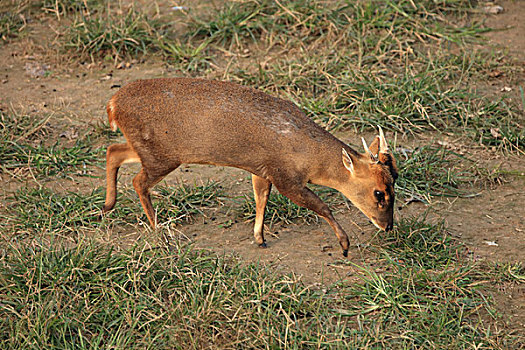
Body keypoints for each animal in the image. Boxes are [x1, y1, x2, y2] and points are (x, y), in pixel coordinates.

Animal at [103, 78, 398, 256]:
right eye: (379, 193)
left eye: (395, 177)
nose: (388, 226)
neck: (310, 160)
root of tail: (112, 105)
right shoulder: (285, 176)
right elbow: (322, 205)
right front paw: (345, 245)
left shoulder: (261, 170)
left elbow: (261, 200)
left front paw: (259, 238)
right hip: (161, 156)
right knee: (138, 181)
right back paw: (159, 231)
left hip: (149, 150)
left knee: (113, 151)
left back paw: (108, 205)